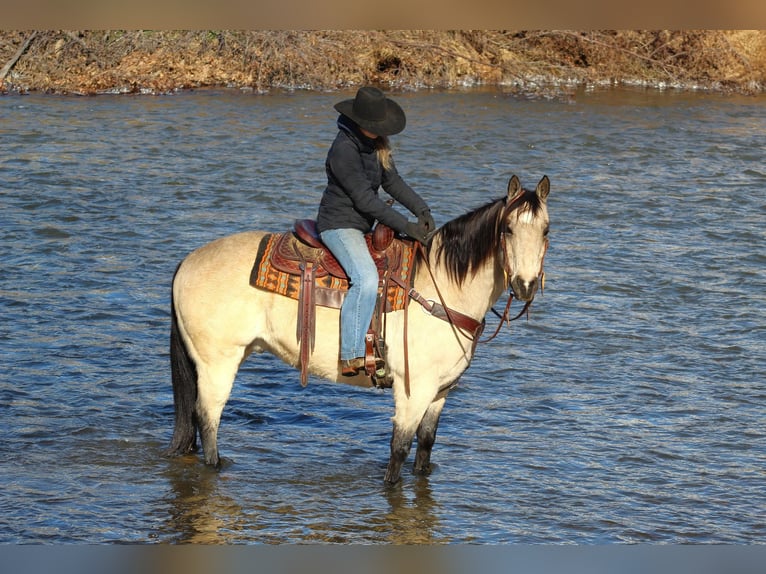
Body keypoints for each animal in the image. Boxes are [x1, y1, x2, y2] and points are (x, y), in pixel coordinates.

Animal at [166, 176, 552, 486]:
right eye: (508, 229)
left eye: (546, 230)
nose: (525, 285)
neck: (442, 288)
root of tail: (187, 261)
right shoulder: (413, 391)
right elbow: (399, 451)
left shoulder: (439, 393)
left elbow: (425, 448)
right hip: (218, 362)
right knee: (207, 418)